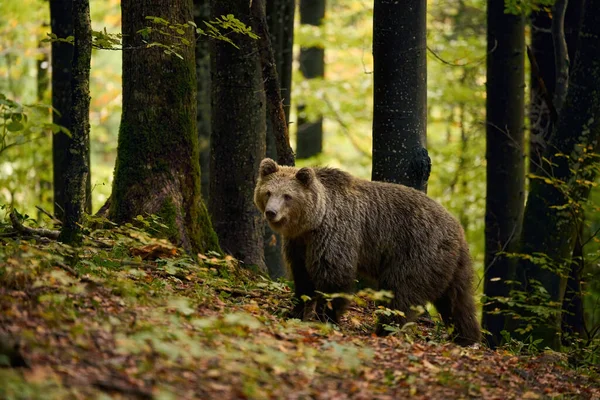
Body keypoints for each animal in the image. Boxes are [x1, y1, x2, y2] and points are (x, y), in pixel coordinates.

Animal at [253, 158, 482, 346]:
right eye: (268, 192)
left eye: (287, 196)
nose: (271, 212)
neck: (313, 221)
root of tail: (457, 230)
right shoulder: (300, 244)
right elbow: (303, 278)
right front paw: (295, 311)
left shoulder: (335, 233)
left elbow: (334, 277)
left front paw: (325, 318)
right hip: (453, 265)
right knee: (458, 301)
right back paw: (466, 337)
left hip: (417, 251)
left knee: (400, 292)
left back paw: (385, 329)